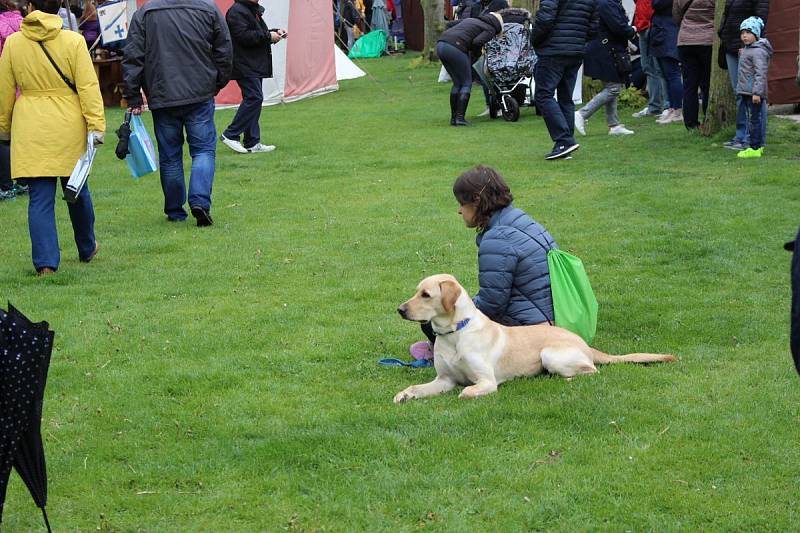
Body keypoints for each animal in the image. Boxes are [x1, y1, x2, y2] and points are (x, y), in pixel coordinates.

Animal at [396, 274, 676, 404]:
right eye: (416, 291)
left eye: (426, 295)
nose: (400, 309)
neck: (455, 334)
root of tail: (584, 343)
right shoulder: (444, 379)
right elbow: (418, 388)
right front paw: (405, 394)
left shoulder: (486, 381)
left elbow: (465, 392)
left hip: (550, 355)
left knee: (591, 371)